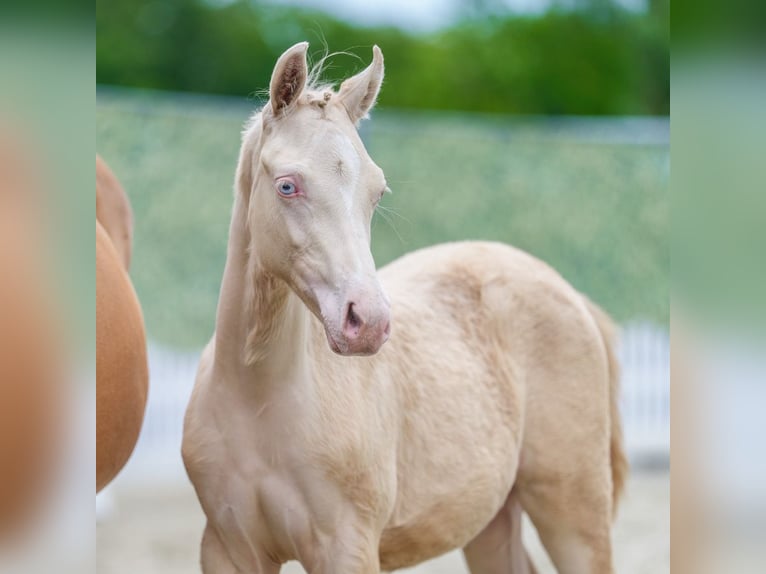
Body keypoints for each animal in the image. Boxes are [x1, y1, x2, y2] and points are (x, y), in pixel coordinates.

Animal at [182, 42, 628, 574]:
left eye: (377, 192)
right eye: (287, 185)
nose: (368, 322)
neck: (259, 403)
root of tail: (570, 294)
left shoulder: (347, 548)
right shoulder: (227, 548)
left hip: (573, 511)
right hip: (492, 520)